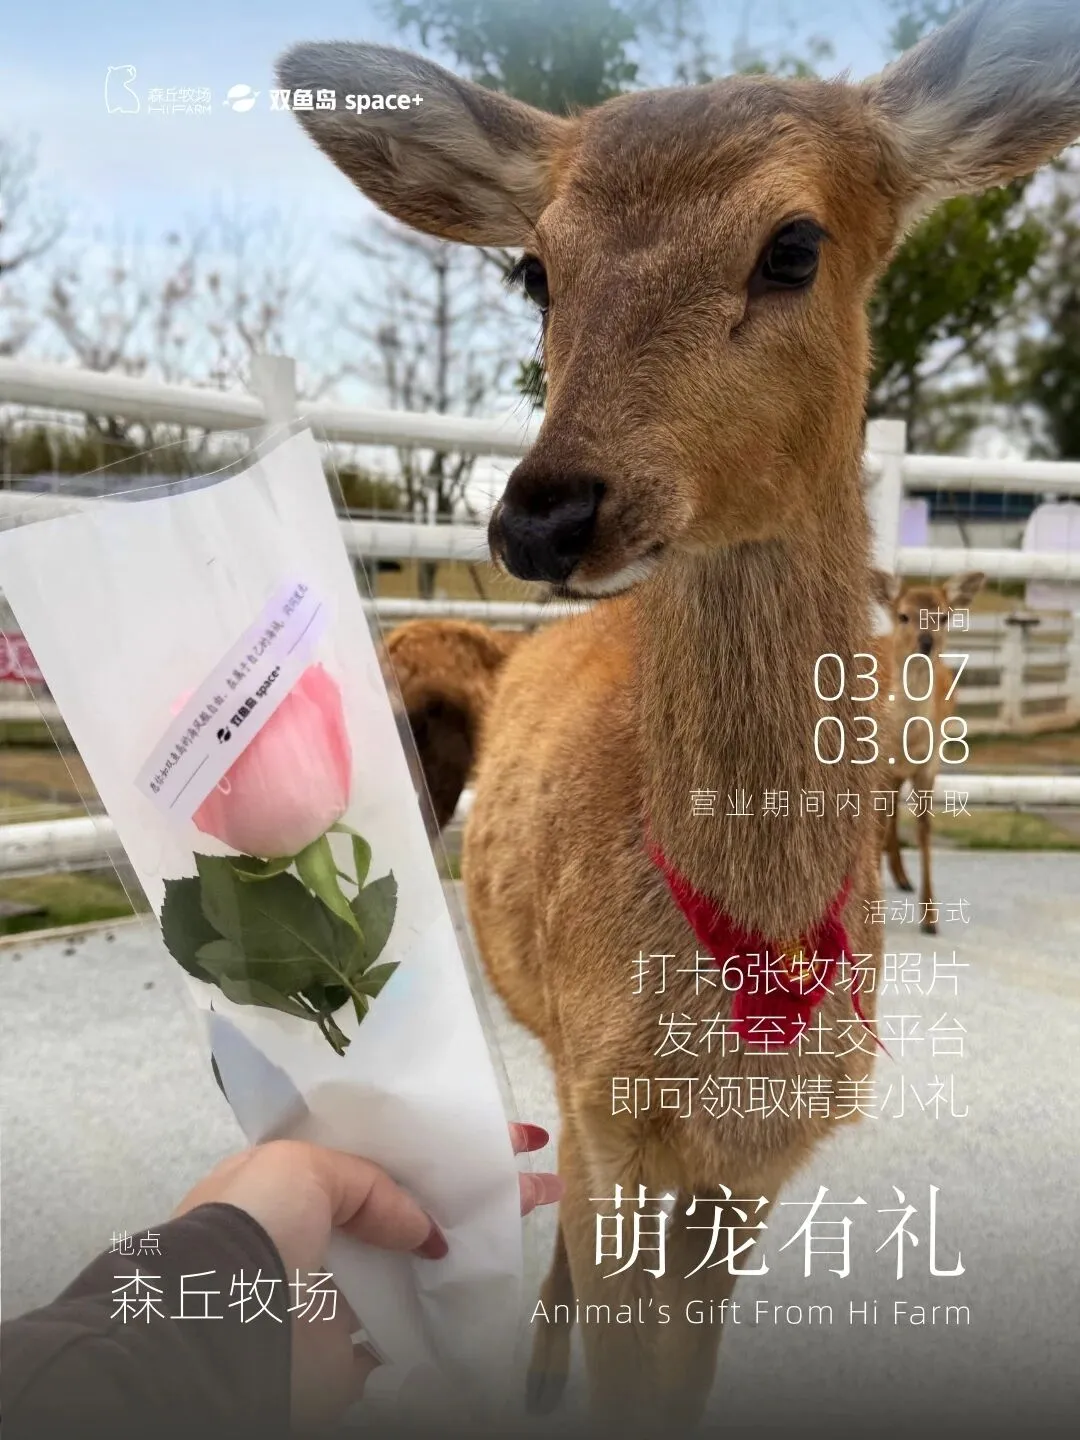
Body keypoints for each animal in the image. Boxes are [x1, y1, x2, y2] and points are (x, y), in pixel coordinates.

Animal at [875, 572, 985, 934]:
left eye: (944, 616)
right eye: (903, 615)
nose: (926, 642)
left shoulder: (929, 765)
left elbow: (924, 829)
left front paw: (930, 918)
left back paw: (902, 877)